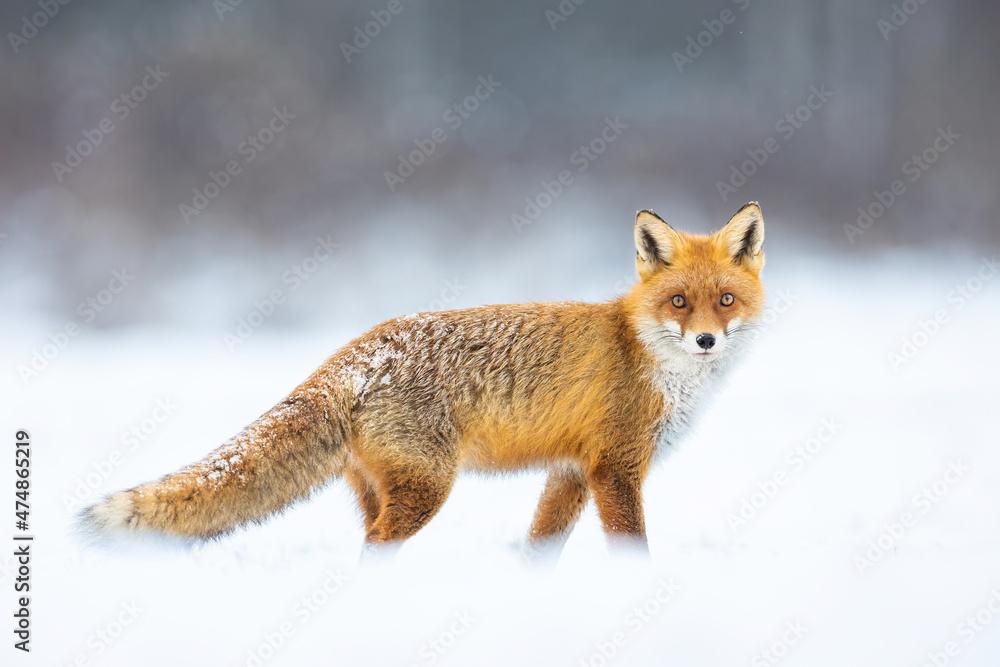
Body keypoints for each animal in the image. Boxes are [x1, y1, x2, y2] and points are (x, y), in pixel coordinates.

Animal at [83, 202, 766, 557]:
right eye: (679, 302)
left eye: (725, 300)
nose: (706, 340)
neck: (648, 356)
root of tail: (352, 355)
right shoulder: (615, 469)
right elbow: (633, 548)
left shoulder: (571, 472)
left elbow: (539, 546)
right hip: (428, 488)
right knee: (376, 549)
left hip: (384, 491)